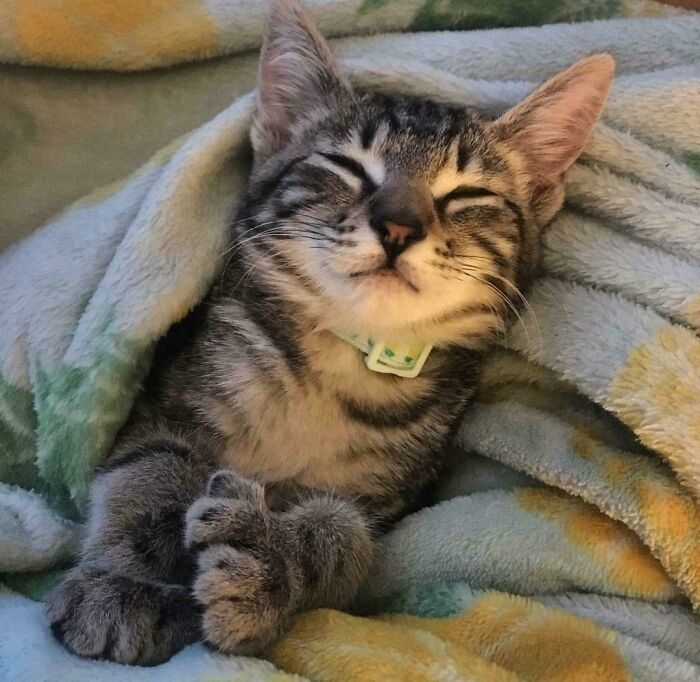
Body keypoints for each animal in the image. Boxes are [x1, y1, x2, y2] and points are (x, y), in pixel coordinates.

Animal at [45, 0, 612, 660]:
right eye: (346, 167)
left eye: (466, 194)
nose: (398, 228)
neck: (330, 373)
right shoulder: (159, 401)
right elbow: (149, 474)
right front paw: (124, 581)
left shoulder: (387, 504)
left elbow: (345, 535)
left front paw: (272, 561)